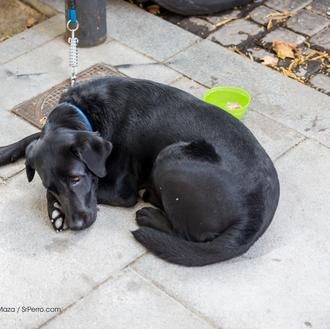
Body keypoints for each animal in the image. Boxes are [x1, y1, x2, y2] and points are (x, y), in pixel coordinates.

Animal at [0, 77, 278, 266]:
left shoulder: (121, 191)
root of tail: (256, 215)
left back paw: (149, 214)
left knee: (190, 233)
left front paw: (56, 211)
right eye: (52, 185)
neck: (85, 112)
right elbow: (33, 138)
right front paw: (6, 151)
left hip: (170, 155)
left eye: (76, 179)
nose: (77, 225)